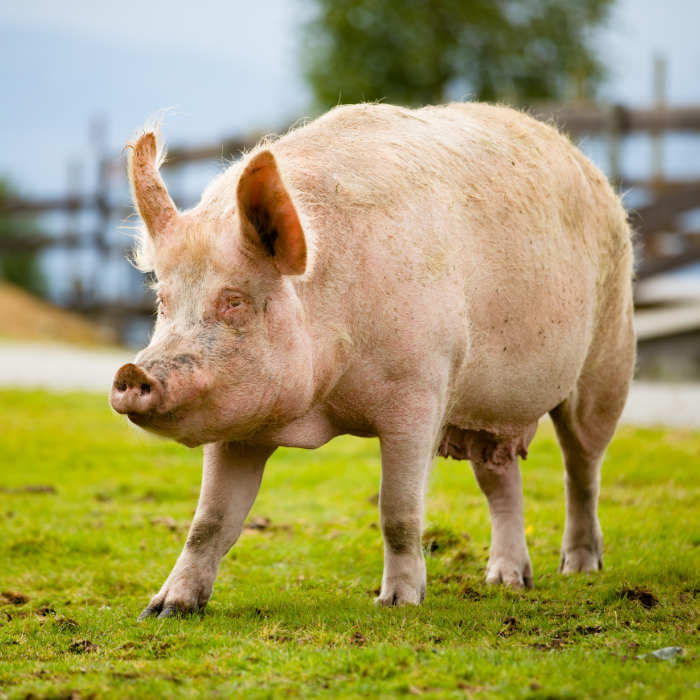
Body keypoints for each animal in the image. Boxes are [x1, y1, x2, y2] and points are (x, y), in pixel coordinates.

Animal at [109, 100, 636, 616]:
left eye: (234, 301)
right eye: (163, 301)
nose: (132, 372)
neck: (324, 406)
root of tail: (587, 163)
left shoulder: (420, 392)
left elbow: (398, 510)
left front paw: (396, 603)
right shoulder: (239, 423)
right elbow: (210, 520)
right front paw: (163, 609)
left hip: (608, 362)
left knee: (583, 467)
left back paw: (580, 570)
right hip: (484, 407)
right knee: (501, 479)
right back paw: (507, 582)